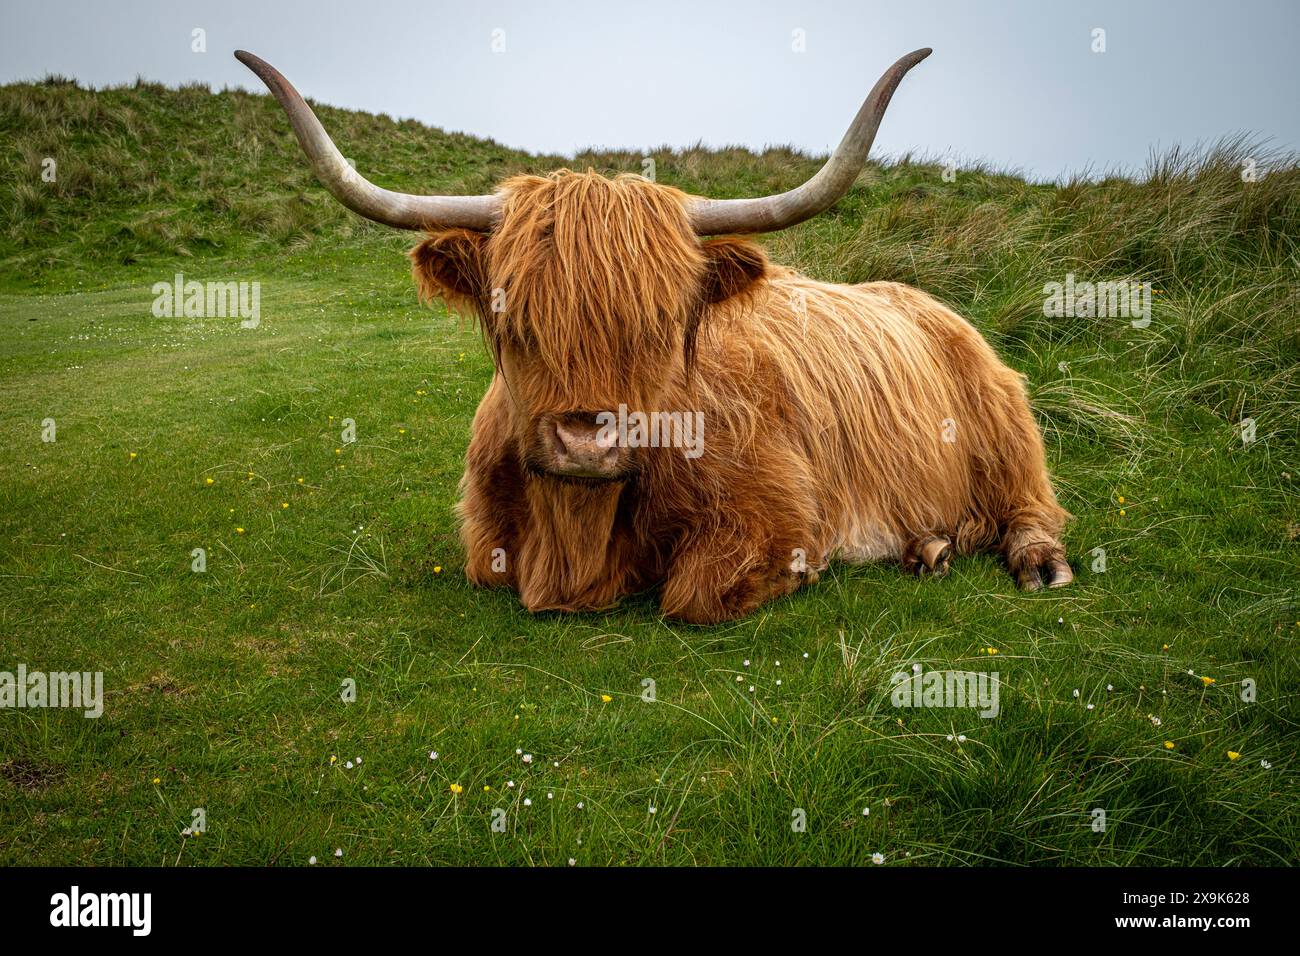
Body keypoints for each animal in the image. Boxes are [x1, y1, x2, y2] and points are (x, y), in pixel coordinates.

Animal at [239, 48, 1071, 624]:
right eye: (513, 316)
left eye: (663, 322)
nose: (586, 439)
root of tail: (925, 299)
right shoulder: (484, 530)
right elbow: (488, 563)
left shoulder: (778, 511)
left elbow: (694, 595)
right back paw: (927, 546)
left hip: (1006, 428)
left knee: (1032, 505)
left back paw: (1032, 562)